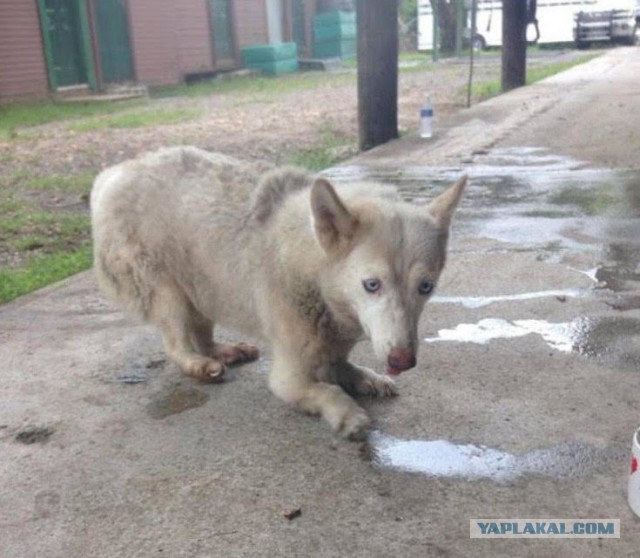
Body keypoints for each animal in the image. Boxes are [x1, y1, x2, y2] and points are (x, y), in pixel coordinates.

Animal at [90, 148, 464, 442]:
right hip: (170, 296)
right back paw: (200, 365)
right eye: (372, 285)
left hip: (206, 286)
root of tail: (112, 174)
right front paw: (348, 414)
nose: (403, 361)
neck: (313, 274)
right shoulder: (289, 379)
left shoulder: (332, 347)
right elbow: (327, 390)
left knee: (203, 334)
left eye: (426, 287)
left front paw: (368, 378)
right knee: (177, 346)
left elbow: (345, 368)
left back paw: (225, 351)